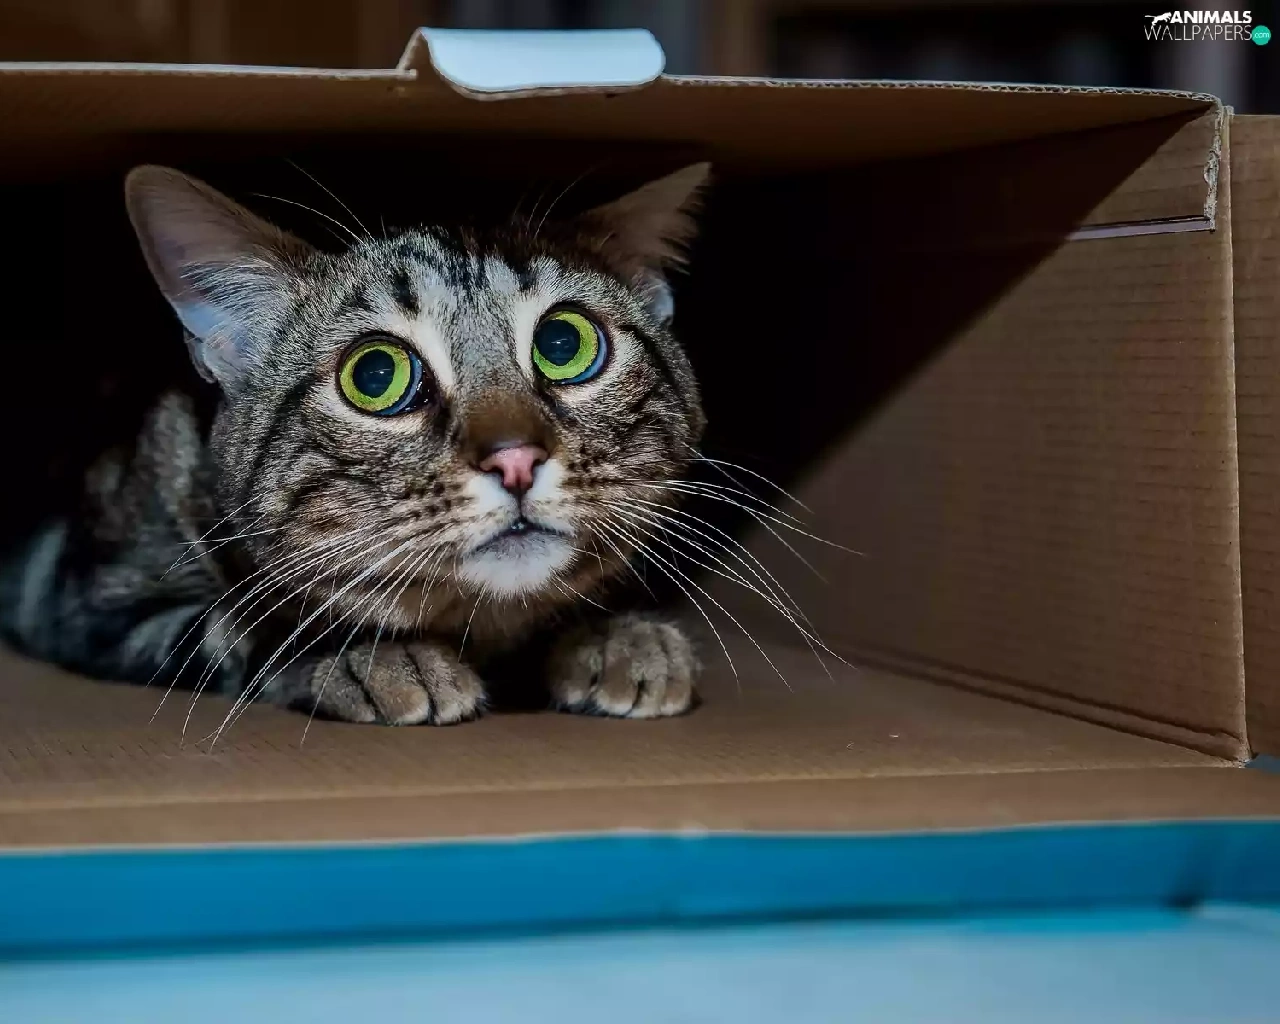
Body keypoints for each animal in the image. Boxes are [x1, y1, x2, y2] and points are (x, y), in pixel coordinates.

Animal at [0, 161, 711, 727]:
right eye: (375, 375)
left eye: (564, 344)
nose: (514, 458)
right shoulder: (96, 600)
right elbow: (243, 627)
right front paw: (377, 657)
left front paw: (619, 636)